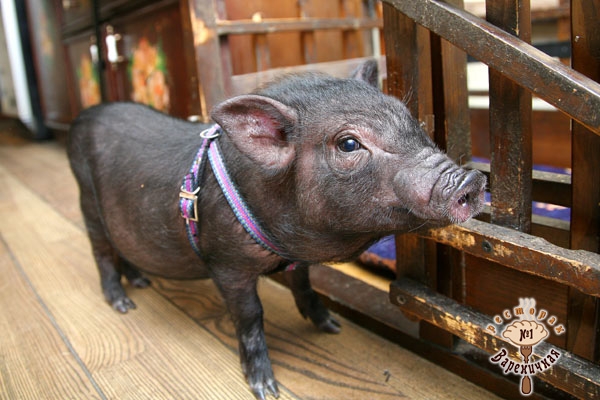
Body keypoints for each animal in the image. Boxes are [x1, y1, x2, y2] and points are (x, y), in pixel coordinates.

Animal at [67, 60, 486, 399]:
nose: (471, 180)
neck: (290, 241)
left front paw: (331, 327)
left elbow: (304, 283)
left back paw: (141, 283)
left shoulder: (295, 259)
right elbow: (250, 314)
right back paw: (123, 303)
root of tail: (79, 119)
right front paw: (266, 388)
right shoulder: (226, 262)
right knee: (101, 252)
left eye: (413, 122)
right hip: (87, 200)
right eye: (349, 143)